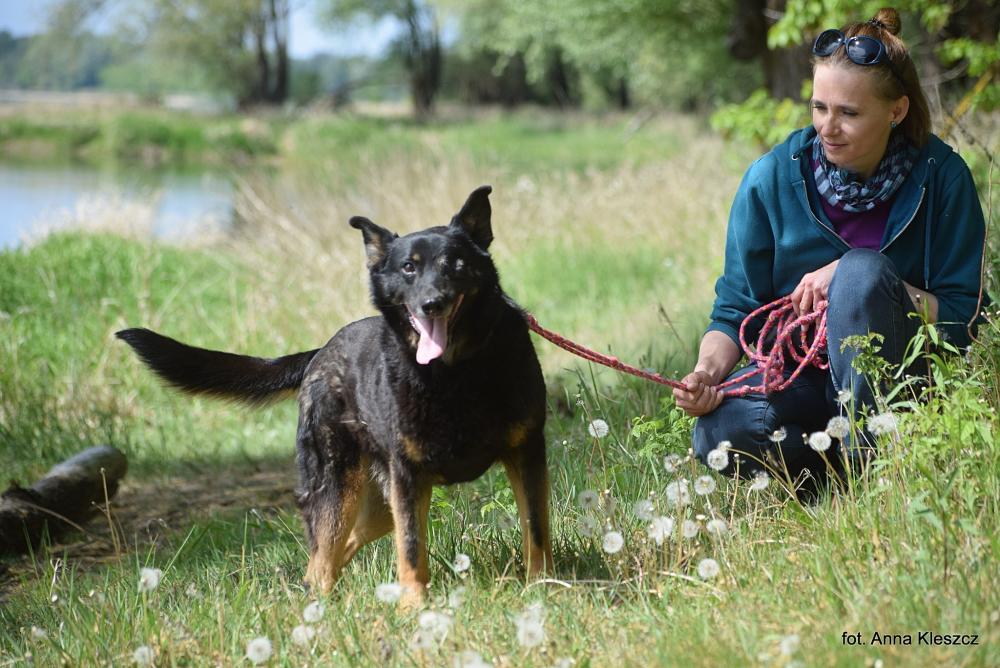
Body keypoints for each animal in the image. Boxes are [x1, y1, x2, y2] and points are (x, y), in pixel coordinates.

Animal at [117, 185, 552, 602]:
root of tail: (320, 353)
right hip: (339, 490)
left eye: (455, 264)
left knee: (336, 552)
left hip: (377, 503)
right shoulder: (409, 476)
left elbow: (536, 529)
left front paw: (544, 587)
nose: (433, 304)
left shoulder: (526, 453)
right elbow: (411, 549)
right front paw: (414, 607)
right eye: (409, 267)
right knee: (322, 561)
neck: (454, 372)